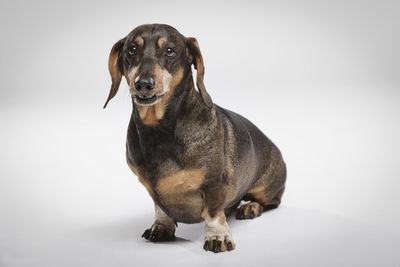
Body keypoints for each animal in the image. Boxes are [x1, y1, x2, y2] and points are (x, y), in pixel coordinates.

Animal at [103, 24, 284, 253]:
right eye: (132, 50)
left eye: (169, 51)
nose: (143, 84)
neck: (158, 130)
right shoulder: (152, 189)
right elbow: (160, 207)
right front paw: (161, 227)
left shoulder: (214, 183)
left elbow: (214, 213)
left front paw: (218, 237)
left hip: (265, 188)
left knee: (271, 201)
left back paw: (251, 207)